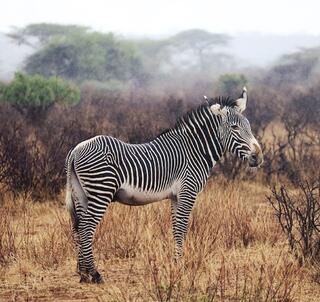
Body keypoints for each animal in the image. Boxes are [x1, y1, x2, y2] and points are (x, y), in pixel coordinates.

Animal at [65, 86, 262, 284]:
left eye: (249, 126)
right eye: (235, 127)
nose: (258, 157)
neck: (195, 151)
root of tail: (75, 150)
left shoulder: (176, 196)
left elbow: (176, 227)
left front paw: (175, 262)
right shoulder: (188, 191)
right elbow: (182, 227)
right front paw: (179, 264)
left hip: (81, 194)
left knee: (78, 228)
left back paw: (83, 273)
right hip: (101, 190)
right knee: (86, 228)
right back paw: (95, 273)